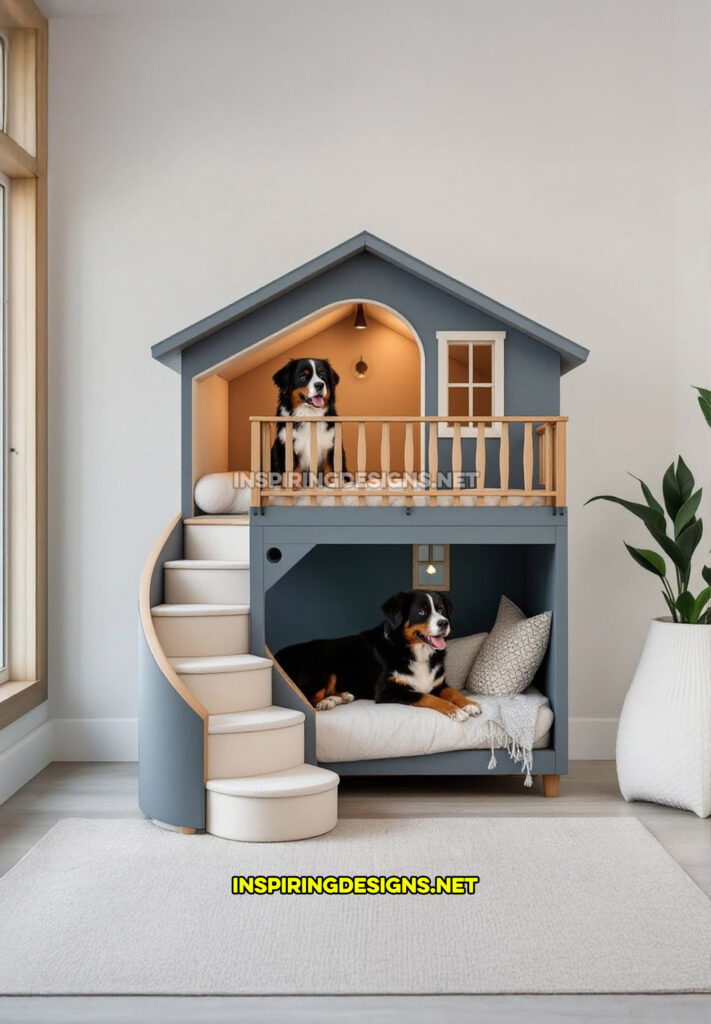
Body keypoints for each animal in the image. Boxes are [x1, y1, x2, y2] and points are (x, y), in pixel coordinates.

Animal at [276, 589, 481, 724]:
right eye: (422, 611)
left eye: (441, 610)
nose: (444, 623)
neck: (413, 651)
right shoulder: (387, 690)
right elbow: (428, 697)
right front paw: (456, 711)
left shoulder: (438, 683)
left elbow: (453, 692)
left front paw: (470, 704)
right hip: (322, 663)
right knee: (306, 696)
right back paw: (327, 702)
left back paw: (341, 697)